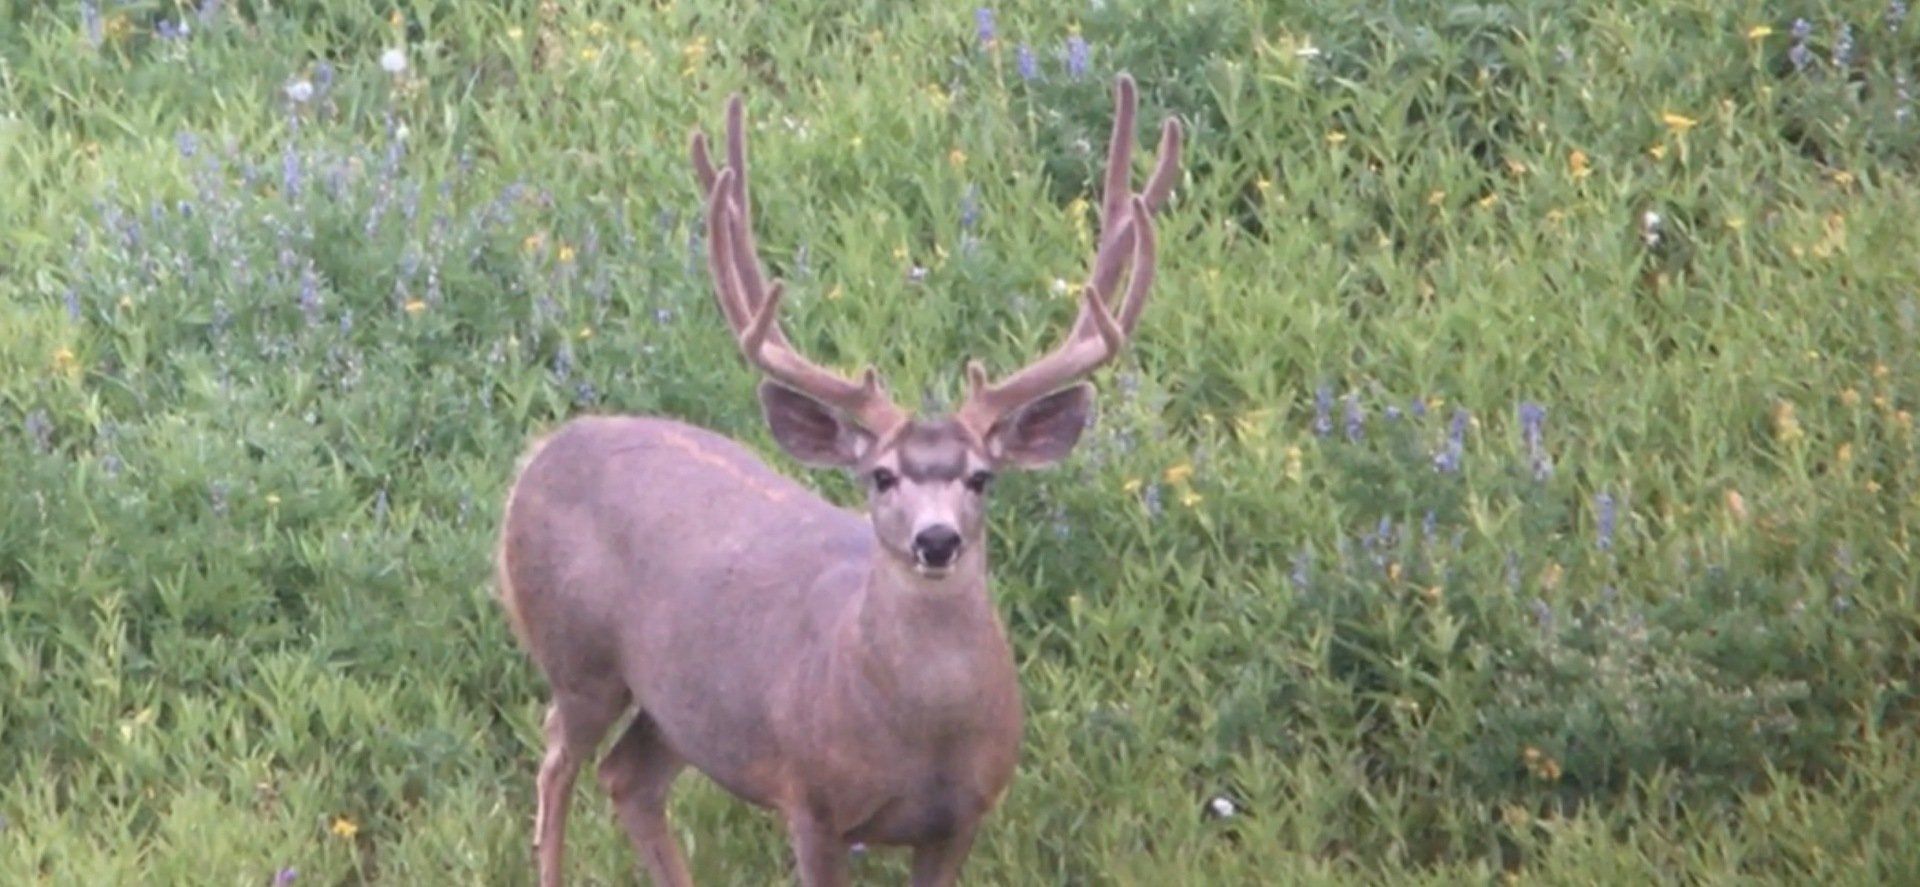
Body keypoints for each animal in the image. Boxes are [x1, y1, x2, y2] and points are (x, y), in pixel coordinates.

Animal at [495, 73, 1181, 886]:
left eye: (982, 477)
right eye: (880, 475)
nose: (937, 540)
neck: (919, 736)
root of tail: (541, 454)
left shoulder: (962, 817)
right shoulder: (812, 800)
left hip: (680, 706)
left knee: (627, 776)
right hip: (578, 657)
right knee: (556, 765)